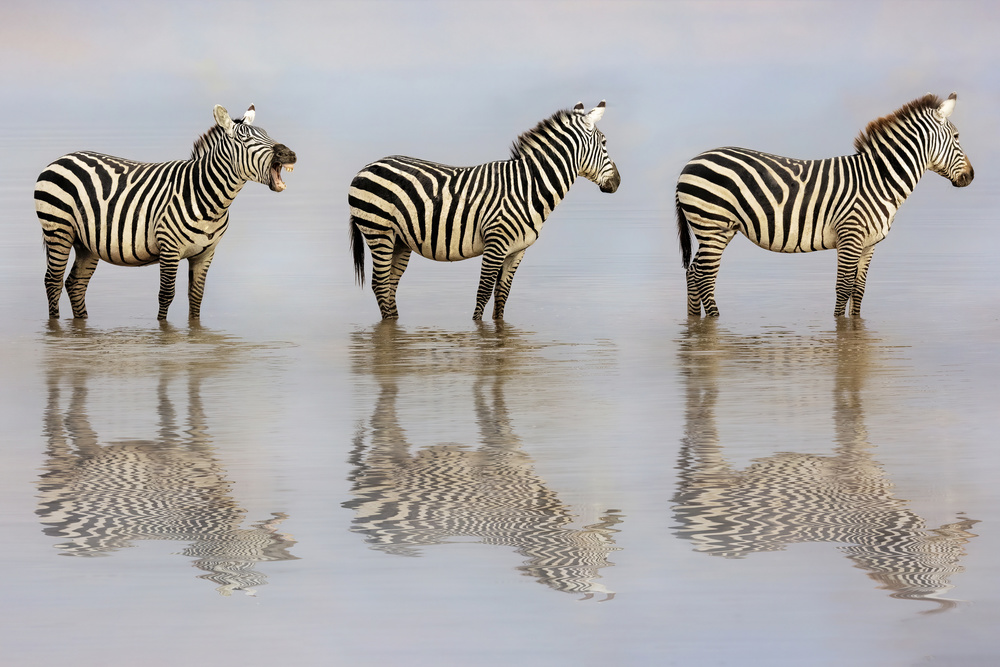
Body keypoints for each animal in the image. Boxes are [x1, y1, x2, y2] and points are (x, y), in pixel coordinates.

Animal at [34, 104, 297, 320]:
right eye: (245, 139)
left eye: (267, 133)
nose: (289, 154)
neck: (209, 198)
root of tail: (62, 158)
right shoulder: (169, 248)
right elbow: (166, 295)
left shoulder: (206, 253)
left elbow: (196, 297)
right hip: (58, 230)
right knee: (53, 281)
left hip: (86, 243)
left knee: (75, 284)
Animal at [349, 101, 621, 320]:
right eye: (605, 143)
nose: (618, 182)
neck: (528, 186)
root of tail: (365, 167)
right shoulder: (495, 244)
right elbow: (483, 293)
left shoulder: (517, 251)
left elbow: (502, 296)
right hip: (379, 231)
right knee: (380, 284)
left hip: (400, 240)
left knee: (389, 285)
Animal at [676, 93, 974, 317]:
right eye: (957, 137)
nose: (971, 176)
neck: (879, 180)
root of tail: (689, 164)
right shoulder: (850, 236)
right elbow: (843, 288)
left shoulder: (869, 244)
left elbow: (858, 290)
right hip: (712, 226)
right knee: (704, 277)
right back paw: (715, 321)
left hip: (720, 230)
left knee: (693, 273)